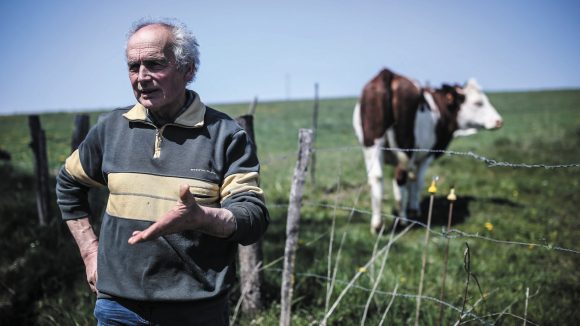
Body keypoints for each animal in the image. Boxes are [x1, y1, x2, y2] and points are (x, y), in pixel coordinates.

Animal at [352, 67, 500, 233]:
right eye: (478, 103)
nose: (499, 121)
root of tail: (387, 73)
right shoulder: (427, 156)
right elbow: (418, 181)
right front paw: (414, 209)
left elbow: (411, 180)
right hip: (404, 148)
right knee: (400, 176)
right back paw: (403, 220)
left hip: (372, 144)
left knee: (376, 177)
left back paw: (377, 225)